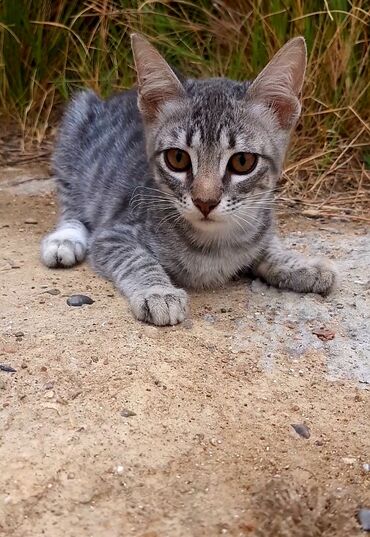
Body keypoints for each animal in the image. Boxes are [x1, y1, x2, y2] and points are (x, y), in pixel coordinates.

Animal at [40, 34, 336, 326]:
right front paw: (159, 292)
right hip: (75, 122)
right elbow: (137, 259)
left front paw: (298, 264)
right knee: (71, 205)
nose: (205, 201)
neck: (217, 244)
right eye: (177, 158)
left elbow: (267, 243)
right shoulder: (112, 235)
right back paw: (64, 240)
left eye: (243, 162)